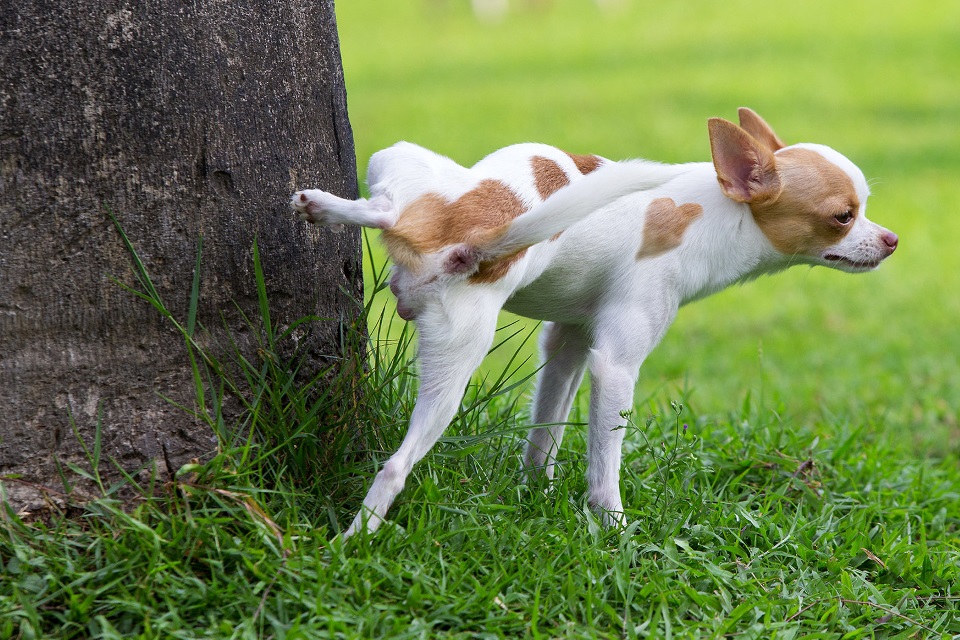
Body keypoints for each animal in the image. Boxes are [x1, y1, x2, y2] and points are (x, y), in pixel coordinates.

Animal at [290, 107, 900, 536]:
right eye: (843, 217)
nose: (892, 240)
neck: (713, 213)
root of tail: (475, 238)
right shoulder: (615, 366)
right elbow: (604, 465)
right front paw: (613, 530)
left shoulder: (568, 344)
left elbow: (546, 432)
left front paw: (534, 494)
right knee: (396, 465)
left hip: (412, 206)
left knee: (388, 210)